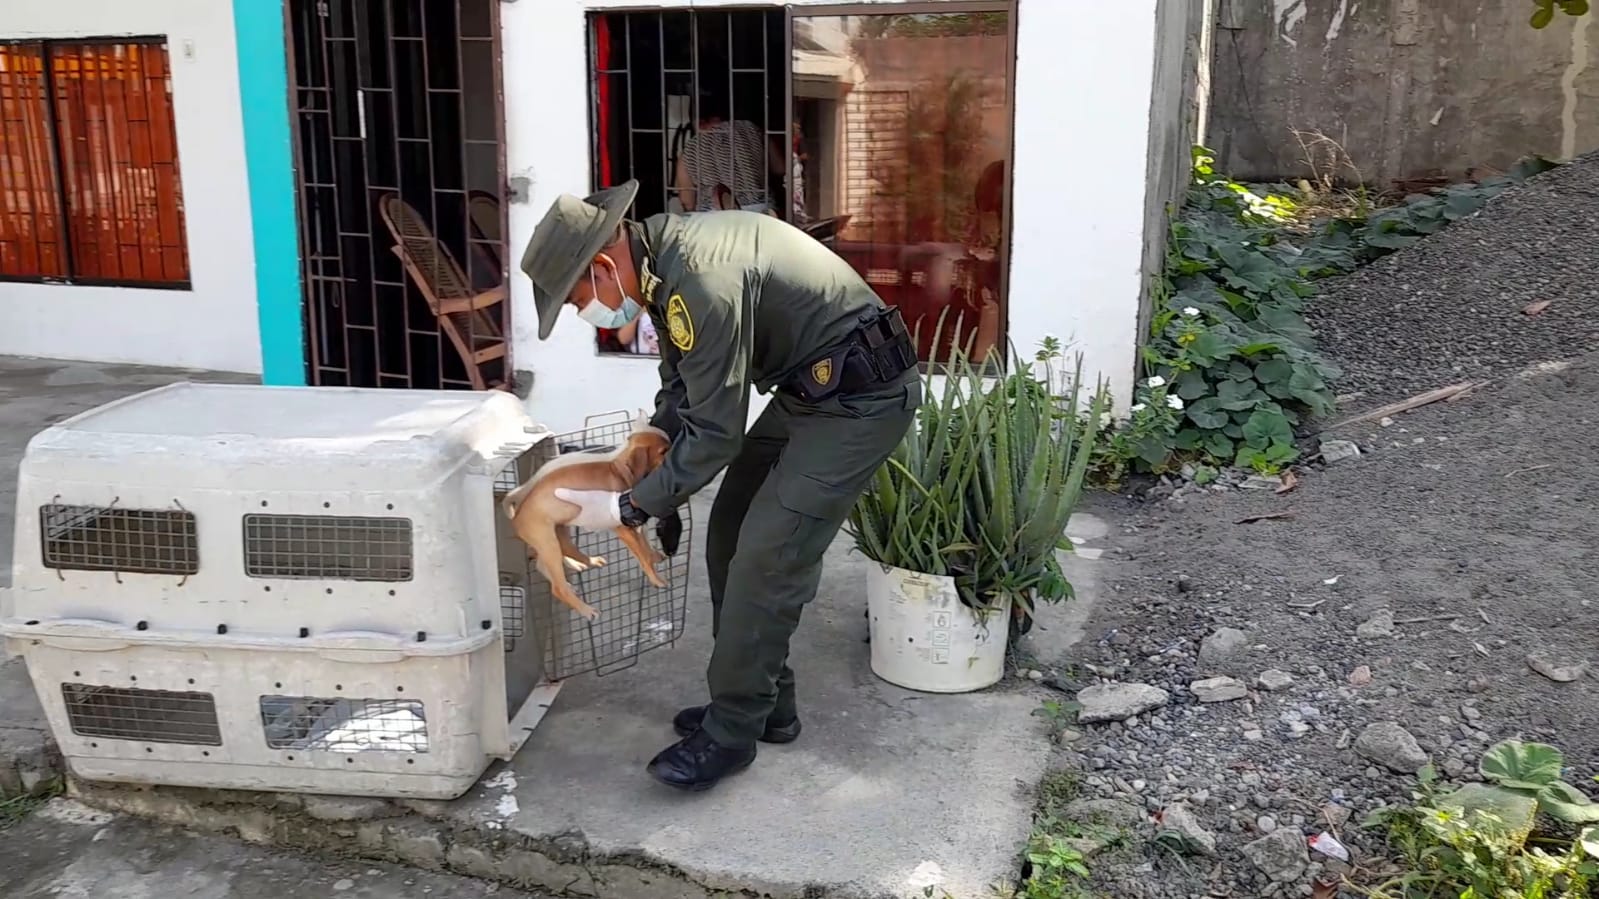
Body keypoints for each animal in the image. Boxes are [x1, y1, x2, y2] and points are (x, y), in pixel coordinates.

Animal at [502, 412, 671, 614]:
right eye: (663, 451)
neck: (619, 469)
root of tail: (517, 511)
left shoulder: (634, 522)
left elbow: (645, 544)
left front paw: (653, 556)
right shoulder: (623, 529)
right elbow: (643, 556)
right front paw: (657, 579)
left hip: (558, 531)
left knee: (558, 555)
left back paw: (585, 562)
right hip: (548, 540)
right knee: (557, 585)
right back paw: (586, 610)